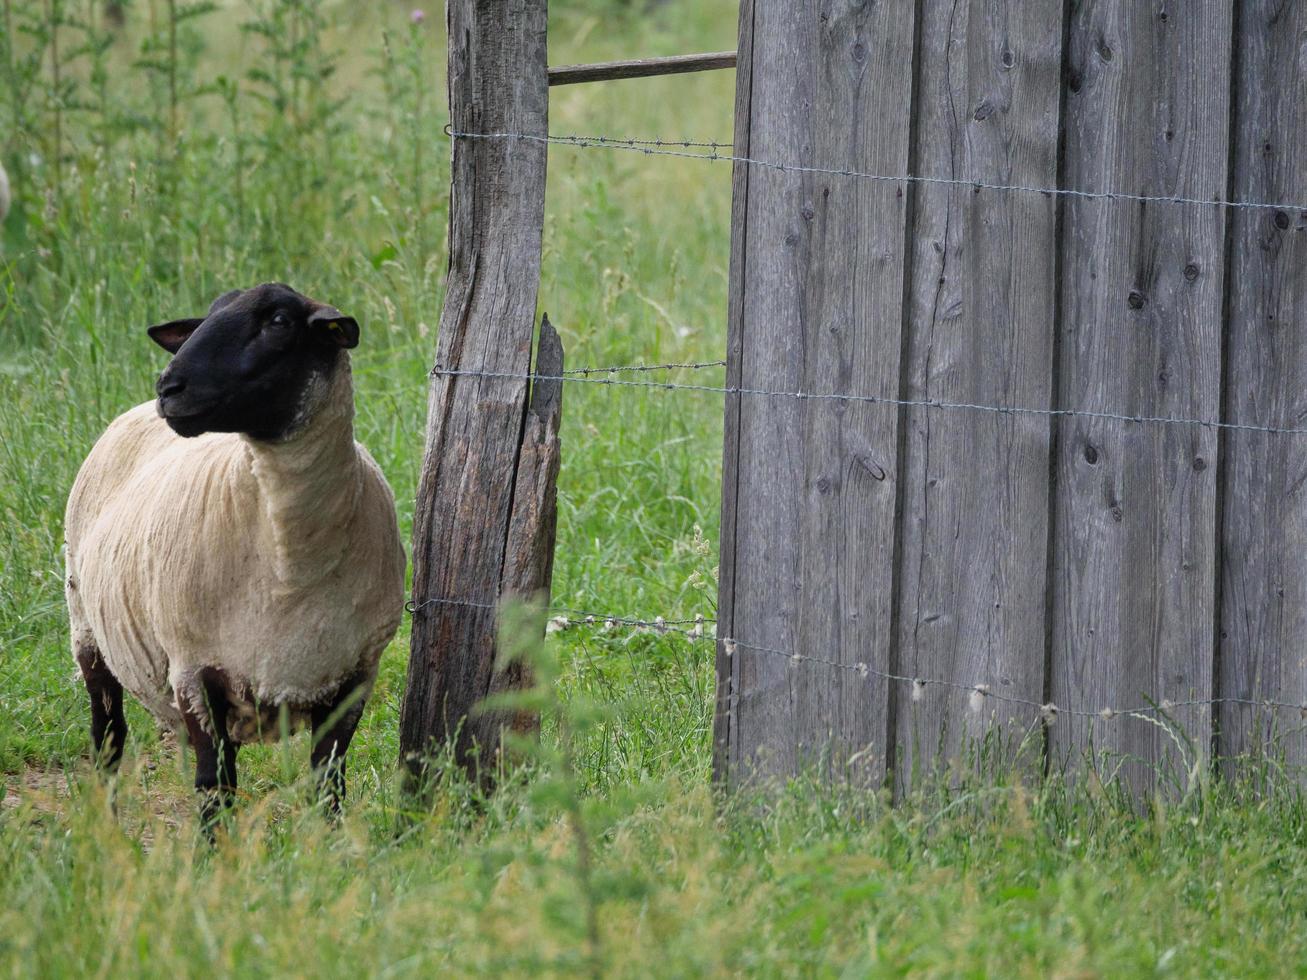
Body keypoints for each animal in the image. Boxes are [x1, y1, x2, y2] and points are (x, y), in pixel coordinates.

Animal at [61, 282, 405, 831]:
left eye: (279, 322)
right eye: (208, 315)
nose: (169, 388)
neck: (289, 563)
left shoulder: (355, 675)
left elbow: (328, 784)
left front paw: (329, 848)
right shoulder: (192, 671)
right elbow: (213, 789)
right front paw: (212, 853)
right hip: (87, 631)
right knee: (108, 738)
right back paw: (107, 831)